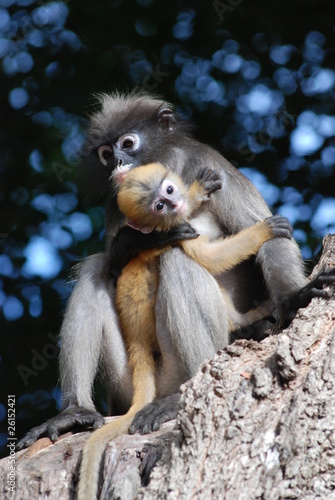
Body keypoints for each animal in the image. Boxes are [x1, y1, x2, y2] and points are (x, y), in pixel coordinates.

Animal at [17, 91, 334, 450]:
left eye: (128, 143)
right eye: (106, 154)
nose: (118, 164)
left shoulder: (209, 163)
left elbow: (269, 233)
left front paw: (296, 297)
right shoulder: (116, 204)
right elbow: (118, 266)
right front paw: (134, 242)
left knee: (176, 261)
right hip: (128, 381)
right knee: (95, 267)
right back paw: (74, 413)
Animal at [77, 164, 292, 500]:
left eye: (167, 190)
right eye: (158, 207)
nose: (173, 203)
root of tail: (138, 347)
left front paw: (198, 191)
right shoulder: (176, 233)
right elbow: (208, 257)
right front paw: (264, 232)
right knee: (178, 260)